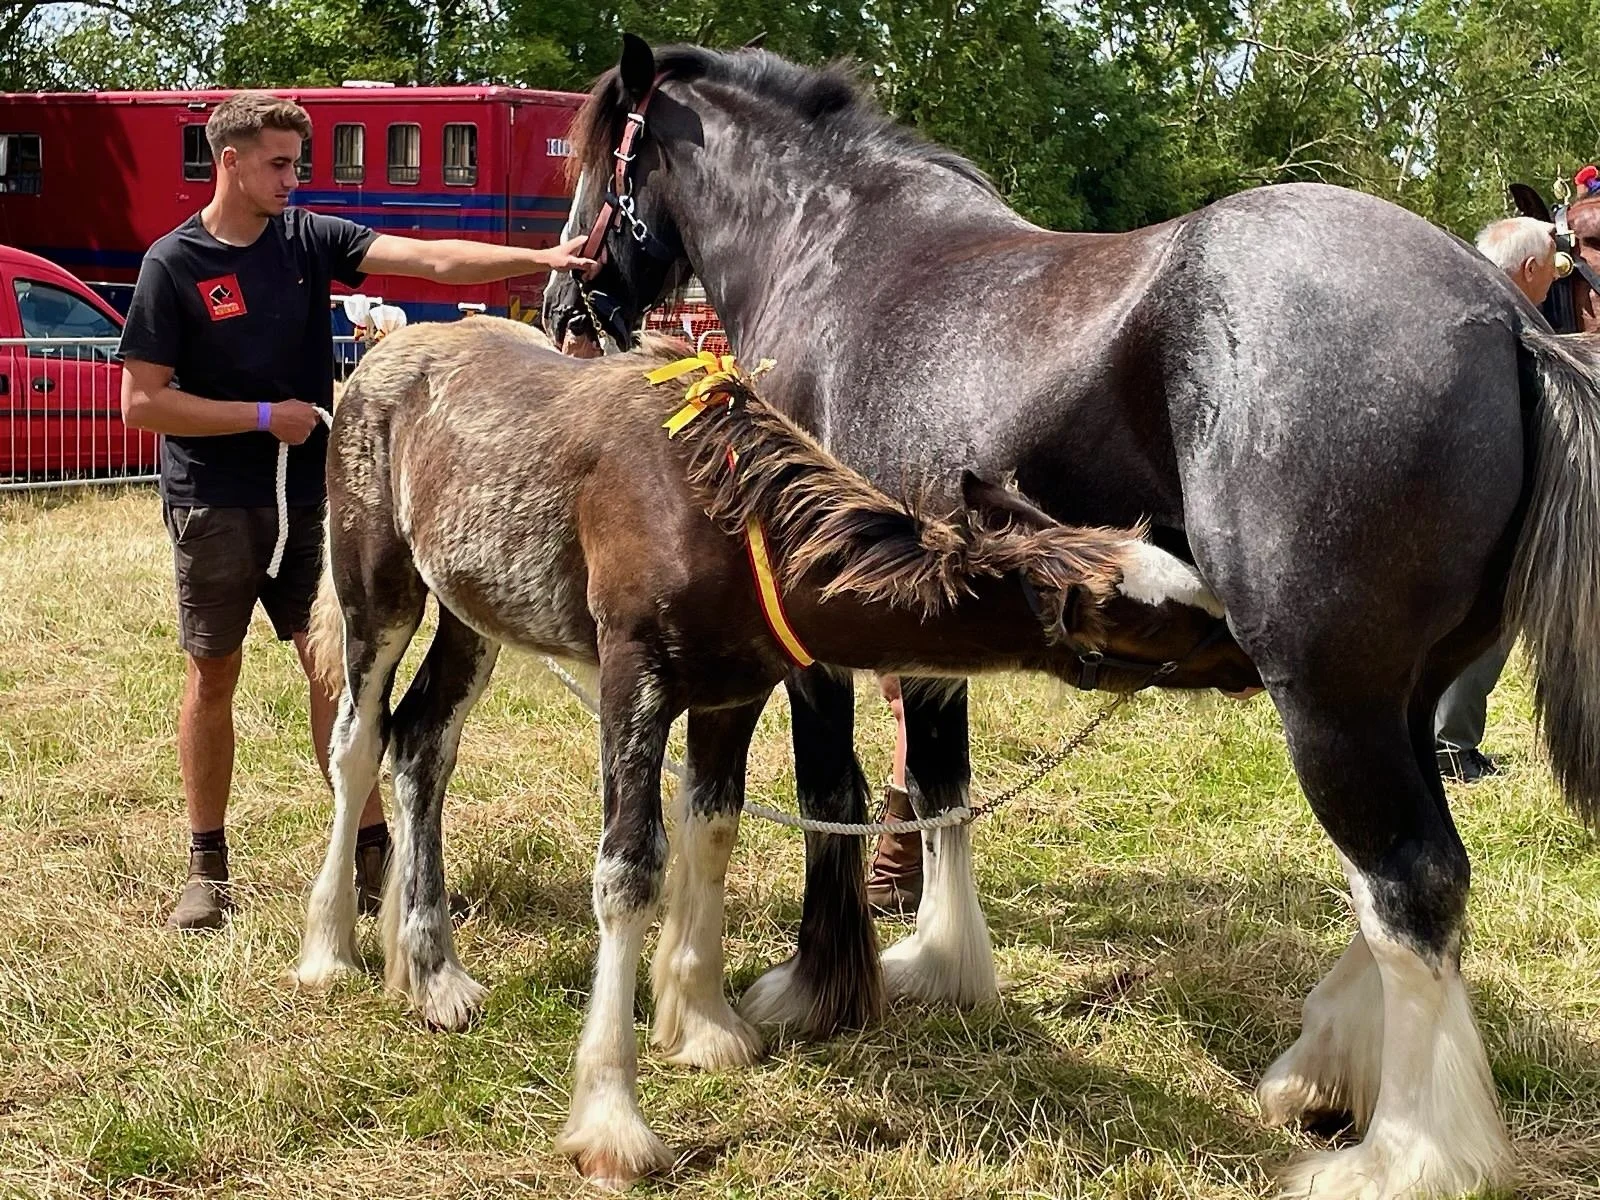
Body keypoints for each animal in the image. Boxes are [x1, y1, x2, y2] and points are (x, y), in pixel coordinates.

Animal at [291, 317, 1251, 1186]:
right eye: (1162, 616)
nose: (1252, 649)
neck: (726, 519)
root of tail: (376, 353)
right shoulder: (632, 683)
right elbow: (629, 872)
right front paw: (611, 1121)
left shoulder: (733, 695)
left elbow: (712, 832)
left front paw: (703, 1024)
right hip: (380, 593)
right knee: (358, 744)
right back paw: (332, 950)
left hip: (473, 613)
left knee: (423, 745)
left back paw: (429, 971)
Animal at [540, 36, 1600, 1200]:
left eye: (598, 158)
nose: (561, 301)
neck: (827, 245)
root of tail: (1502, 319)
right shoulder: (929, 625)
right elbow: (940, 786)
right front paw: (941, 964)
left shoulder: (817, 636)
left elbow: (834, 791)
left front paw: (817, 989)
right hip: (1395, 699)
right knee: (1399, 890)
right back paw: (1323, 1071)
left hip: (1330, 700)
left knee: (1408, 885)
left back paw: (1406, 1158)